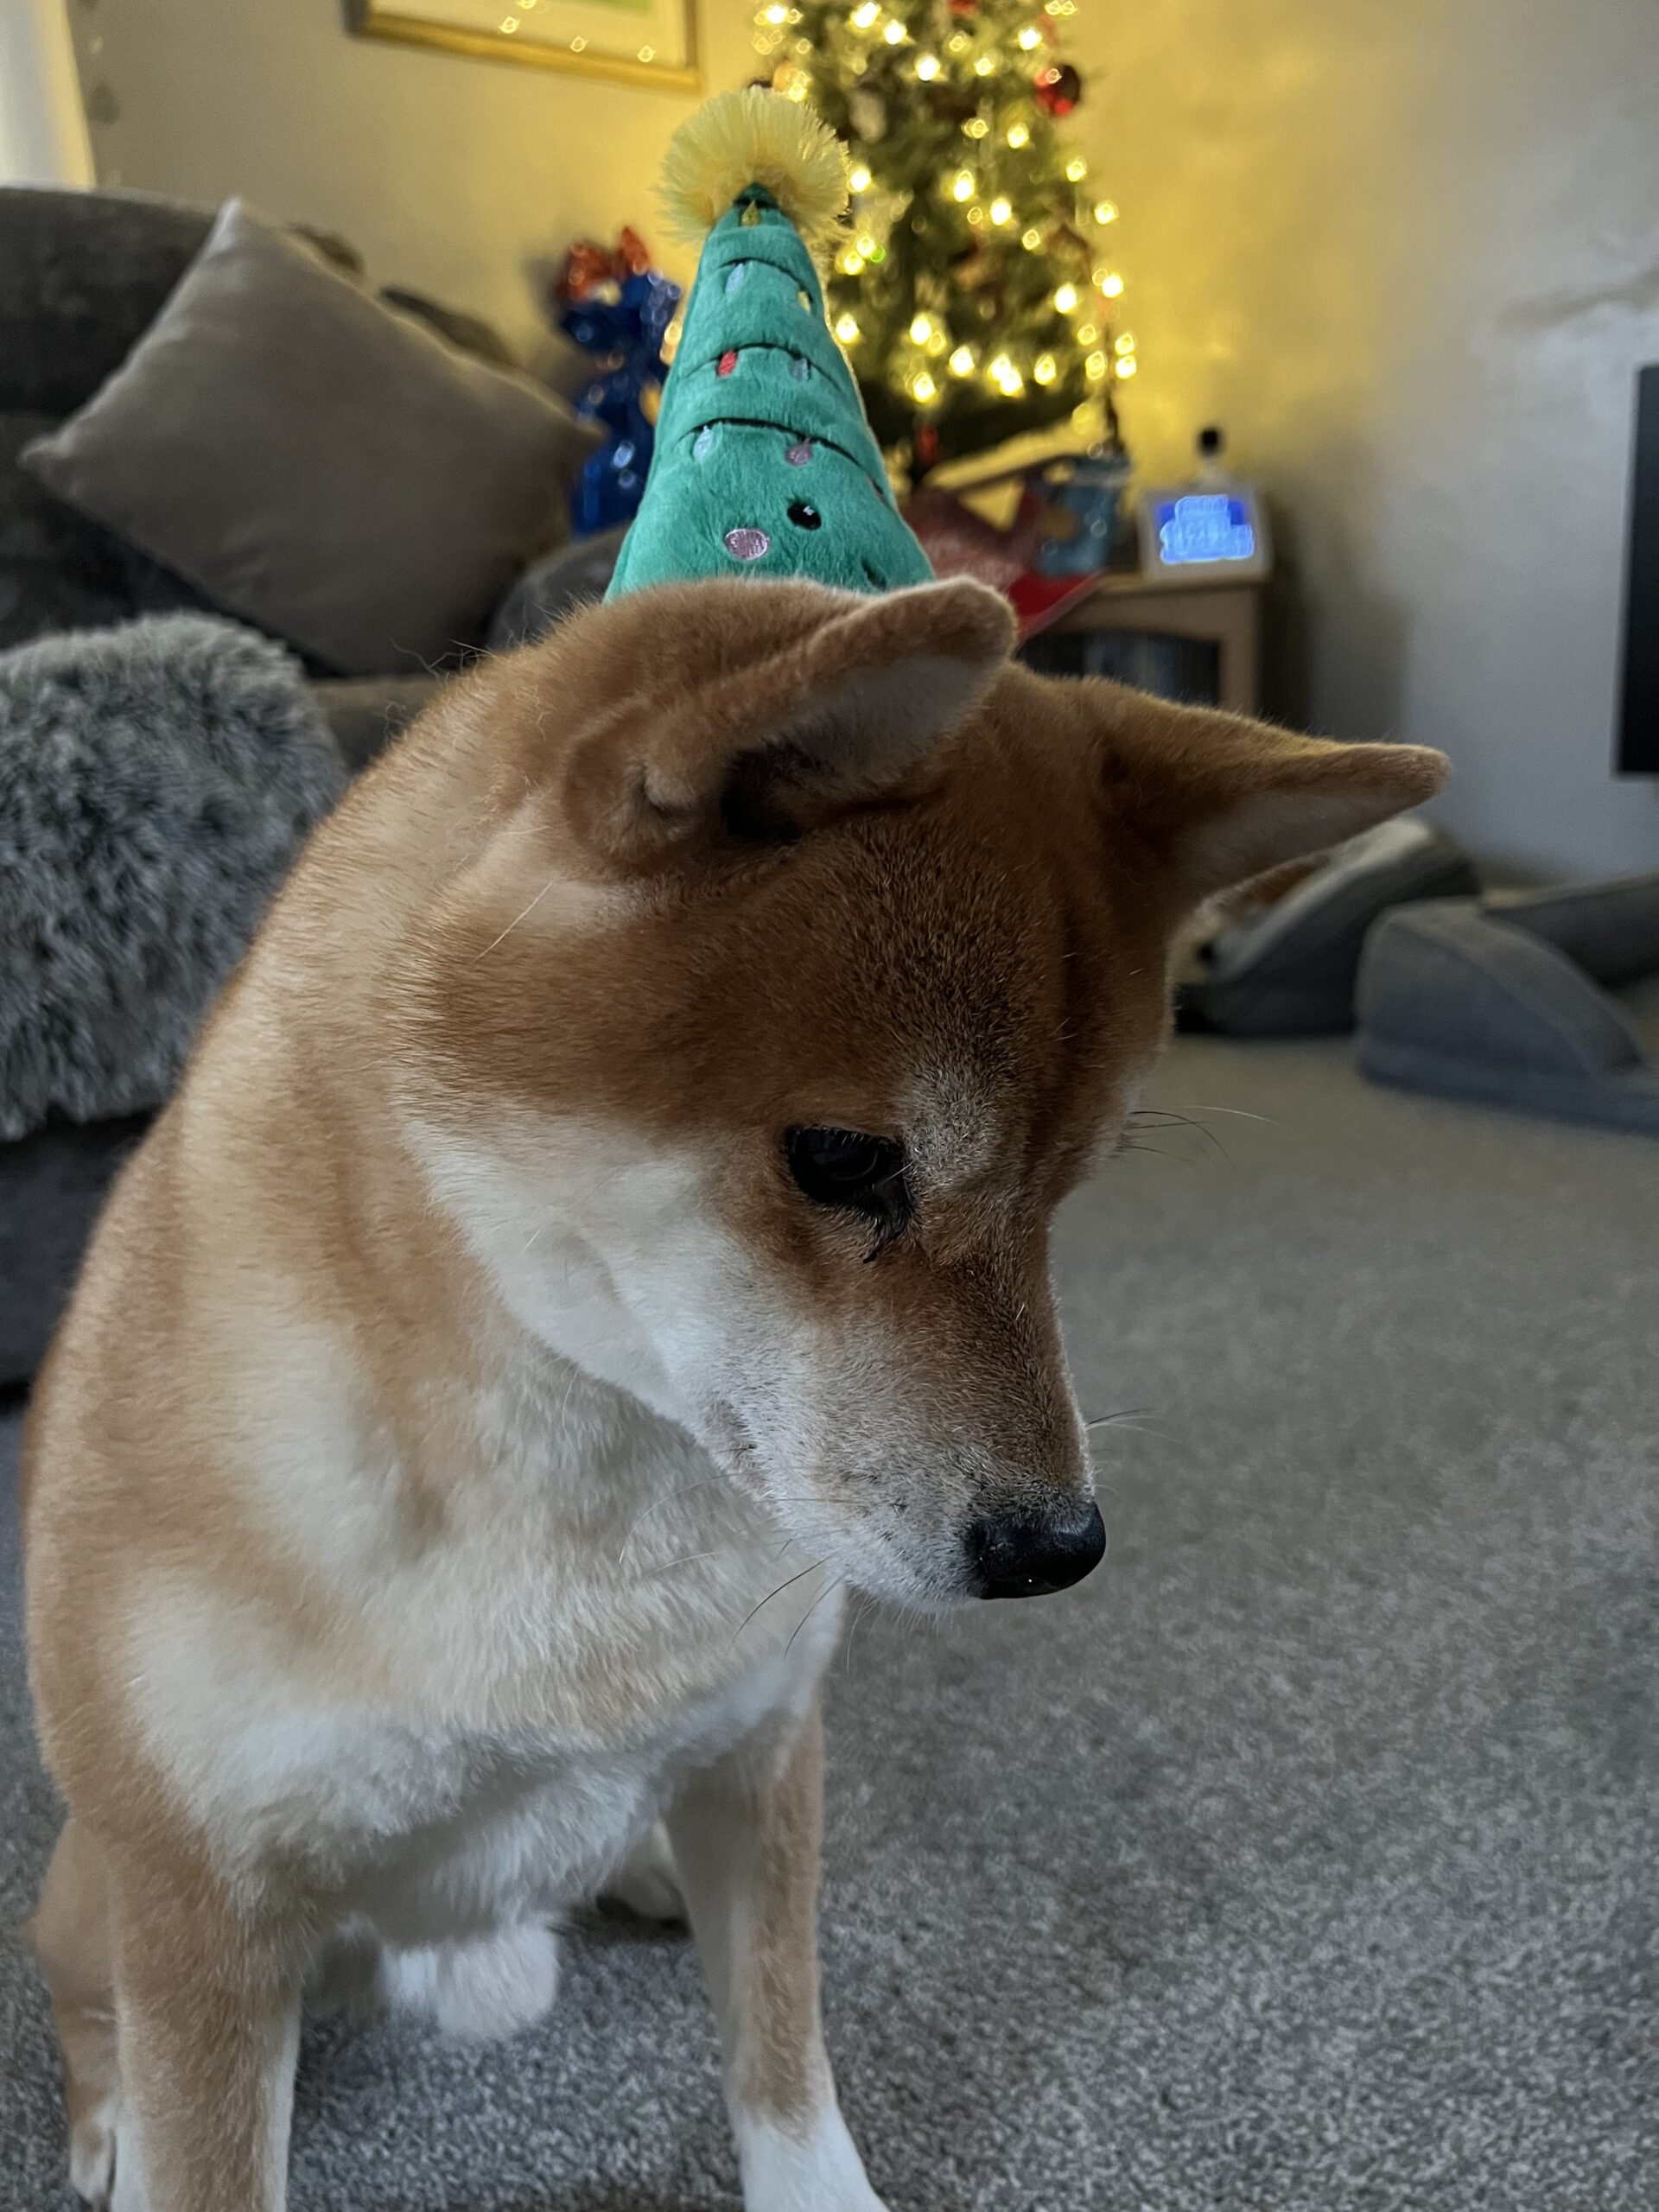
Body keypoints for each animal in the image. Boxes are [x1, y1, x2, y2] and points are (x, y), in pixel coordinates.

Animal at [22, 575, 1445, 2211]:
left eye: (1069, 1193)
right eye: (843, 1159)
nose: (1059, 1550)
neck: (579, 1511)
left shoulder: (770, 1754)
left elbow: (782, 2057)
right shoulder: (204, 1905)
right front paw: (136, 2132)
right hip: (100, 1891)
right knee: (78, 1998)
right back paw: (105, 2121)